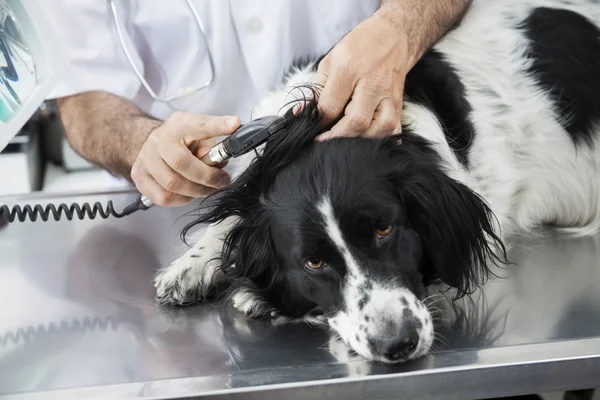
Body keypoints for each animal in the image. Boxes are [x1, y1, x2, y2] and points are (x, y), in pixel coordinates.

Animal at [152, 0, 600, 364]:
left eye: (385, 229)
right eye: (313, 263)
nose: (397, 344)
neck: (309, 134)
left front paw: (258, 297)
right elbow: (235, 213)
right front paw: (192, 265)